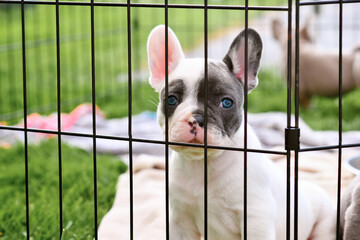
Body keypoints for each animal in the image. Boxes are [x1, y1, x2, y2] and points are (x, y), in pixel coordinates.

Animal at [148, 24, 336, 240]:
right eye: (171, 100)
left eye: (226, 103)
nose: (196, 119)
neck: (204, 164)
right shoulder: (181, 221)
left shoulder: (255, 219)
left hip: (324, 223)